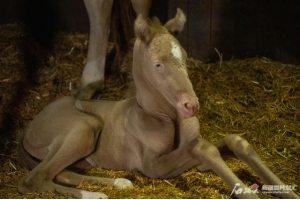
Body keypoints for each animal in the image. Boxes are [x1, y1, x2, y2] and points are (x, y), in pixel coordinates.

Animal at [17, 9, 298, 198]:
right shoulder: (153, 166)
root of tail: (28, 130)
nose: (190, 106)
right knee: (33, 179)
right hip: (85, 127)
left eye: (184, 57)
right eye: (158, 65)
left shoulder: (194, 160)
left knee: (62, 172)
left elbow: (233, 141)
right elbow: (203, 147)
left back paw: (119, 183)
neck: (163, 116)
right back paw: (95, 194)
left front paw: (287, 192)